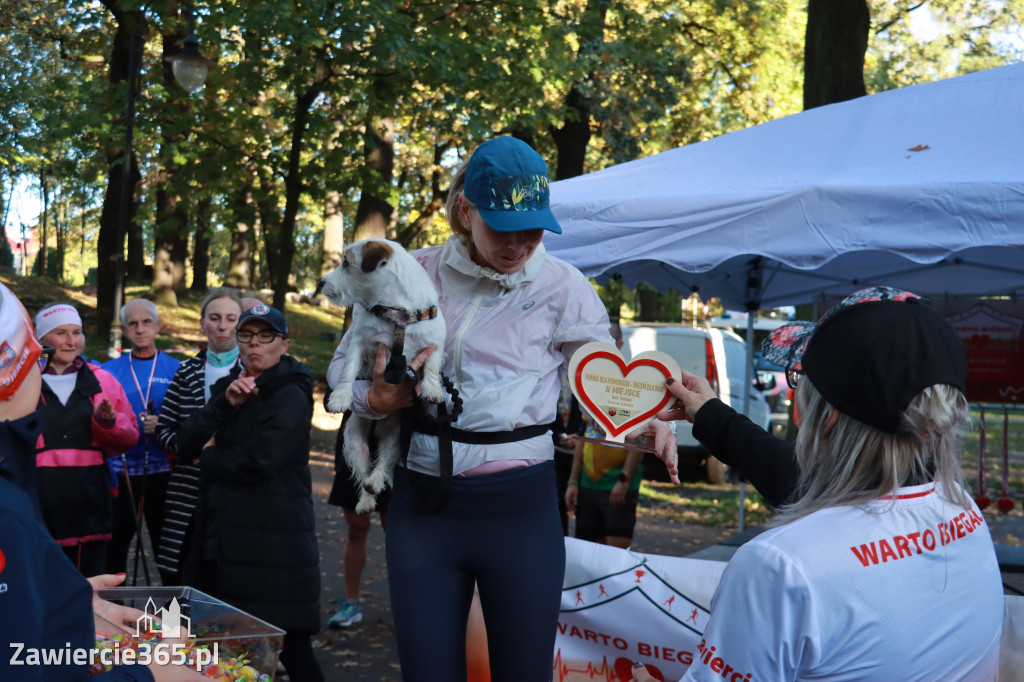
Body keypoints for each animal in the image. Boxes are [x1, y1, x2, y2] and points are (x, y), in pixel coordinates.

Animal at [317, 237, 446, 509]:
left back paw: (375, 482)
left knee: (384, 463)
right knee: (363, 470)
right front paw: (340, 398)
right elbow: (347, 371)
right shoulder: (359, 342)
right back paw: (366, 498)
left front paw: (433, 389)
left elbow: (432, 366)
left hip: (395, 438)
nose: (321, 283)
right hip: (353, 440)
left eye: (346, 262)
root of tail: (377, 429)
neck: (397, 310)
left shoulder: (435, 343)